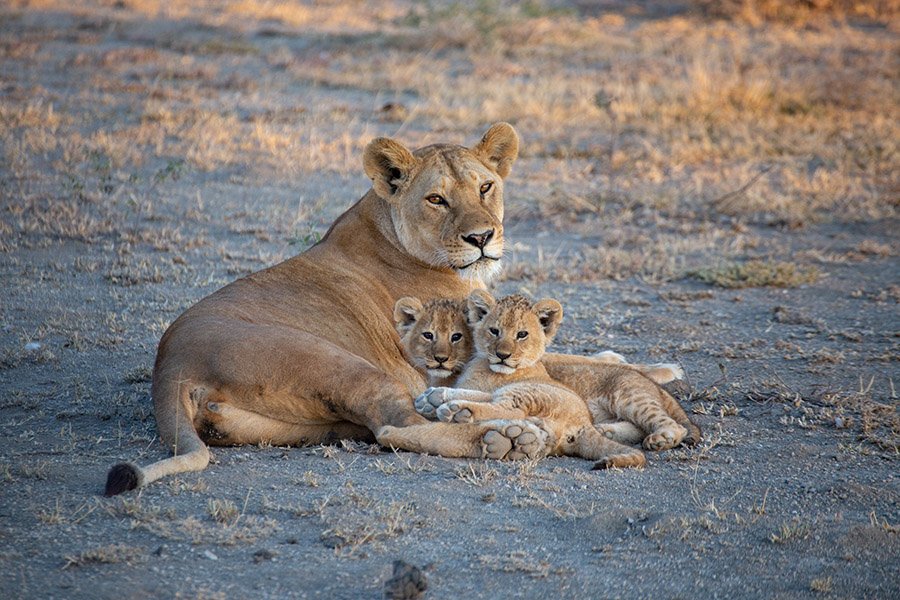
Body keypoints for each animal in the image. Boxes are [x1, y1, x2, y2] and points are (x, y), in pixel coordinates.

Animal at [411, 291, 700, 465]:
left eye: (522, 335)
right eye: (494, 331)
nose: (502, 355)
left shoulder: (512, 386)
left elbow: (485, 397)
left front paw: (440, 401)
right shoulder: (490, 387)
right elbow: (475, 392)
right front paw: (432, 398)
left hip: (625, 395)